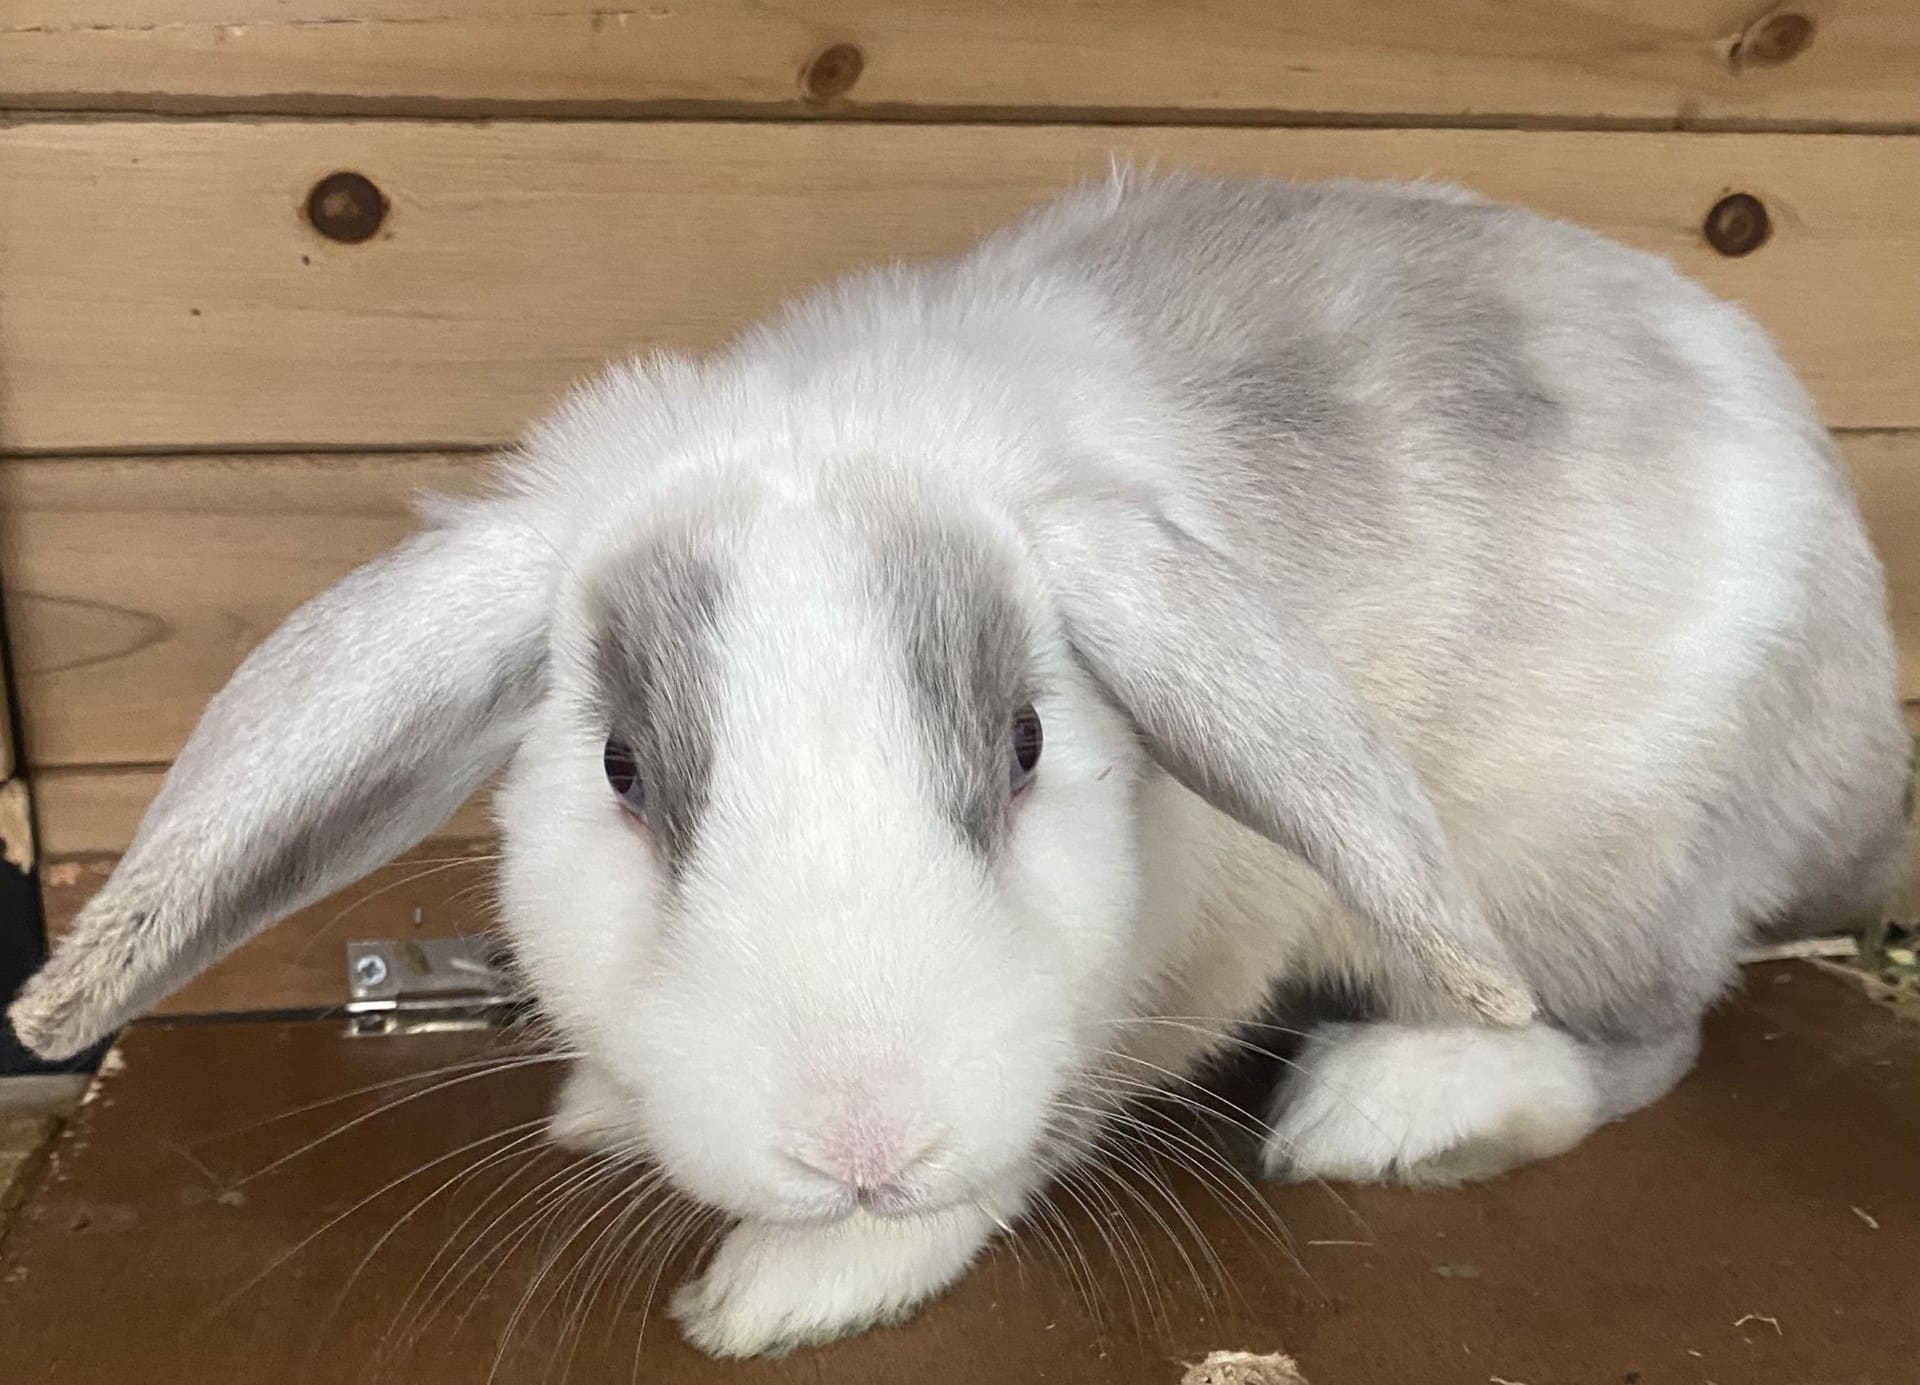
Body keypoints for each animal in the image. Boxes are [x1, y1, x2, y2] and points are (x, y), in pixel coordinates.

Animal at [8, 169, 1908, 1358]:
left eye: (1028, 744)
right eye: (620, 769)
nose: (863, 1144)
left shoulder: (1164, 982)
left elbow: (1029, 1145)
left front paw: (802, 1282)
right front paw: (617, 1115)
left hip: (1592, 875)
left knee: (1644, 1041)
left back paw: (1391, 1108)